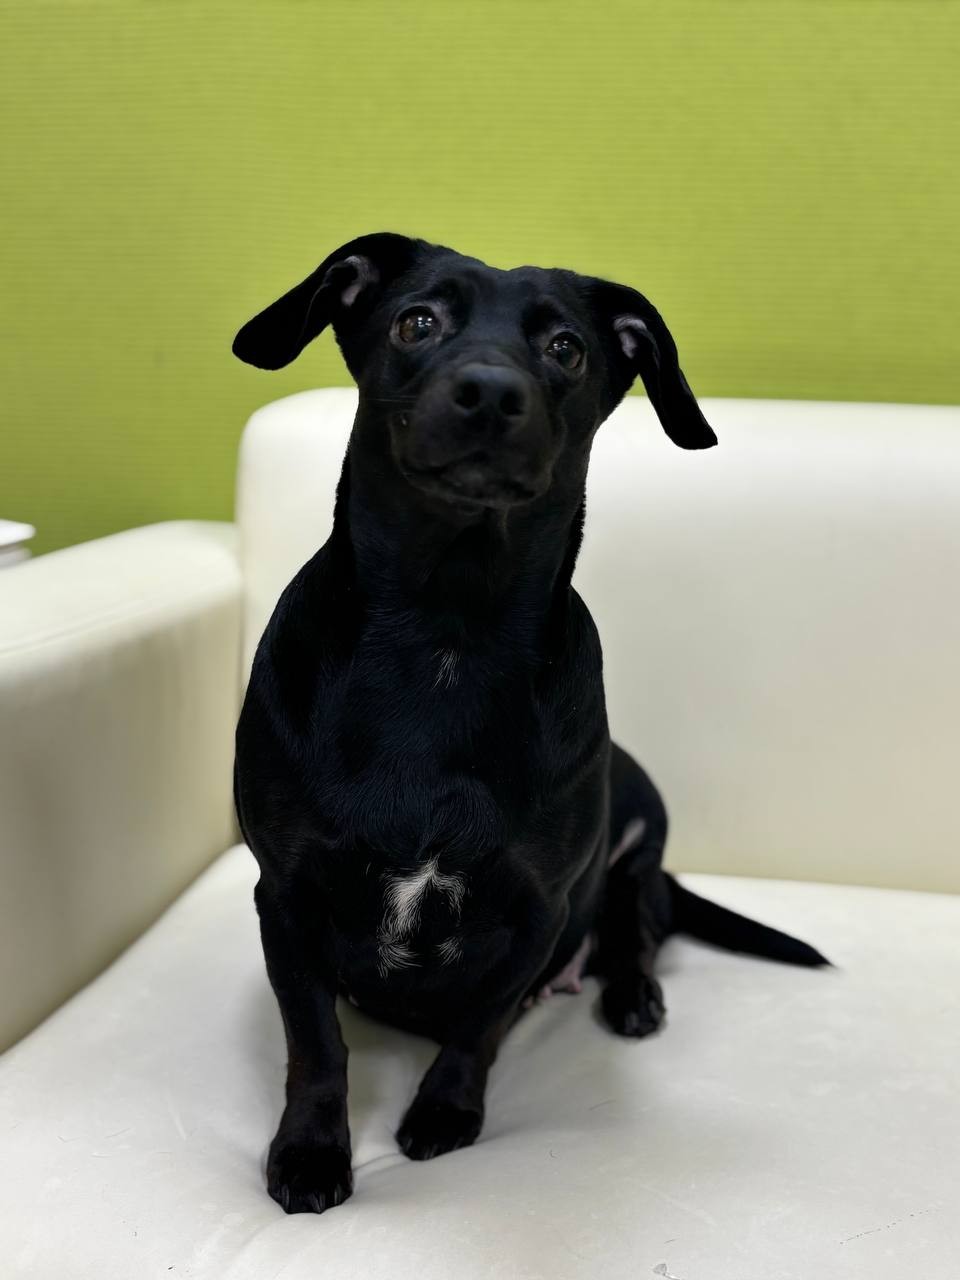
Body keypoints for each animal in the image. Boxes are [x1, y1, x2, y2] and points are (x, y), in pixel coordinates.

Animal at [232, 234, 828, 1215]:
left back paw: (632, 997)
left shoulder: (535, 910)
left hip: (638, 861)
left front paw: (444, 1113)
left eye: (567, 350)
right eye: (417, 321)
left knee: (636, 936)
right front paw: (313, 1153)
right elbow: (316, 1044)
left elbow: (477, 1027)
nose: (489, 392)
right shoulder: (284, 897)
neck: (448, 630)